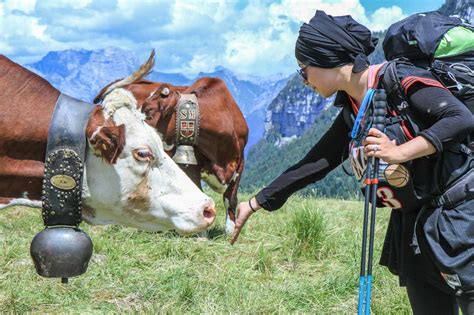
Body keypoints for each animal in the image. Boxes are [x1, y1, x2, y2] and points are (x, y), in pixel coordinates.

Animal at [93, 53, 248, 233]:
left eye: (148, 110)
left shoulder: (240, 161)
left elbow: (231, 198)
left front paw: (231, 230)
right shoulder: (190, 164)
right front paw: (201, 232)